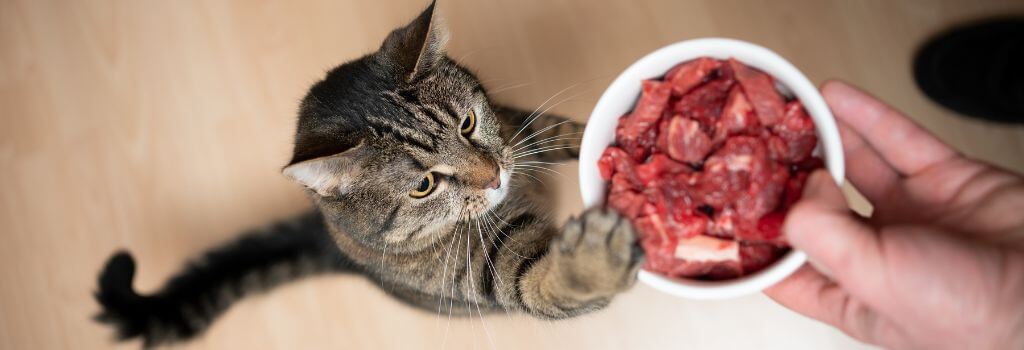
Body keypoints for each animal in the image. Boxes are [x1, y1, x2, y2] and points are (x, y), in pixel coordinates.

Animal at [96, 2, 638, 347]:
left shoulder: (515, 127)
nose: (493, 177)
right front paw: (594, 258)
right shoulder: (491, 270)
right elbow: (544, 284)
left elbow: (561, 132)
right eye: (423, 186)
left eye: (467, 123)